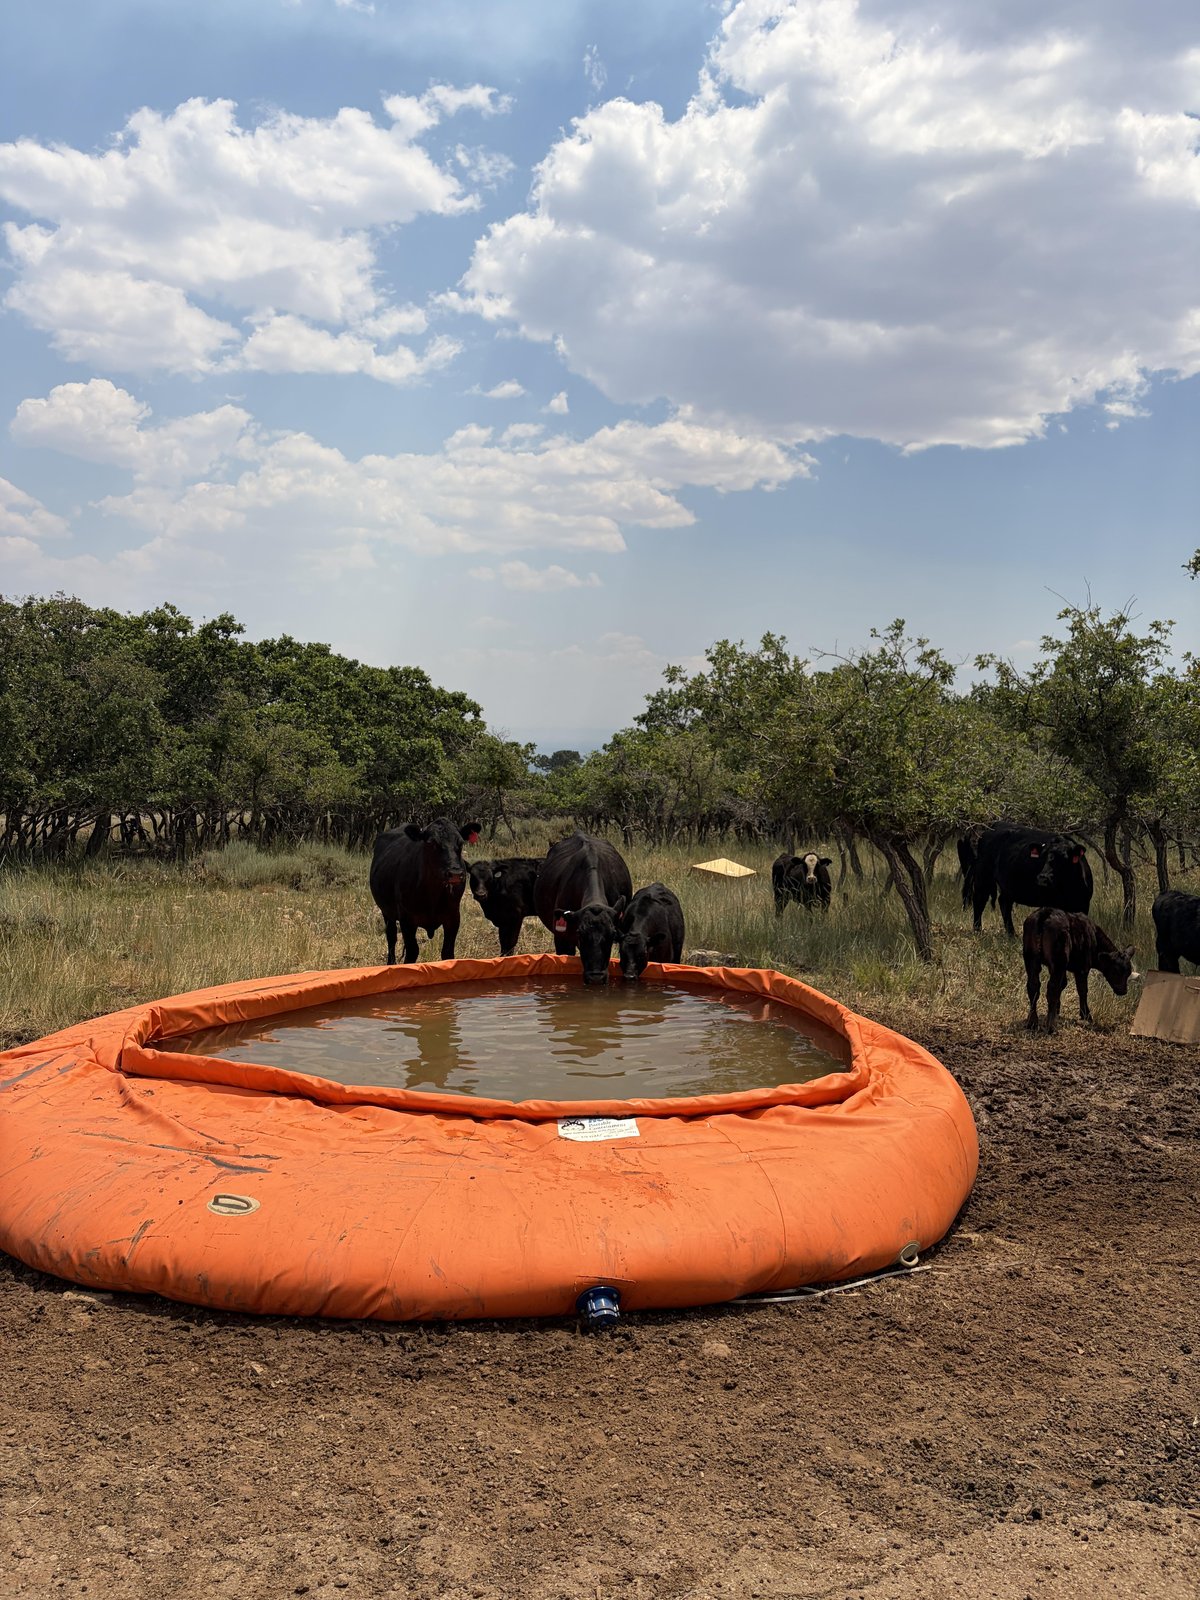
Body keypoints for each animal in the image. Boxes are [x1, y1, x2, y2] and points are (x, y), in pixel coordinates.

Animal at [369, 817, 482, 965]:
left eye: (461, 843)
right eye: (431, 843)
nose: (455, 873)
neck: (432, 893)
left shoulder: (453, 916)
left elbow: (448, 952)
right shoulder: (406, 919)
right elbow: (412, 952)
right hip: (387, 912)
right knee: (391, 937)